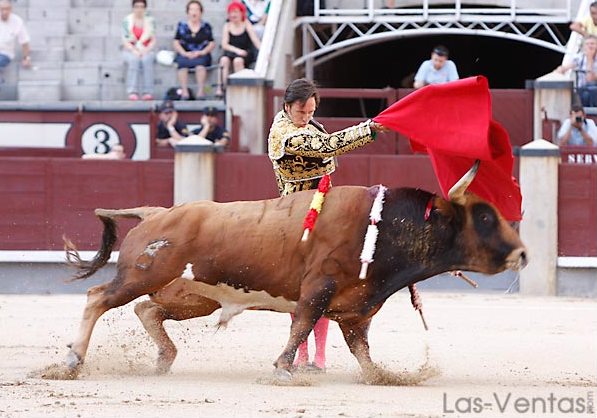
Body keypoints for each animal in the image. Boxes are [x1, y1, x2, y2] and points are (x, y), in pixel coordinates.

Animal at [61, 163, 528, 382]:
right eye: (485, 217)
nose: (523, 253)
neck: (381, 227)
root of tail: (156, 212)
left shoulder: (356, 309)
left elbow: (361, 351)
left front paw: (383, 377)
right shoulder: (318, 288)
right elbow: (302, 324)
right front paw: (284, 369)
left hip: (194, 296)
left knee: (146, 311)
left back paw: (163, 360)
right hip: (145, 275)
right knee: (99, 298)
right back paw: (70, 361)